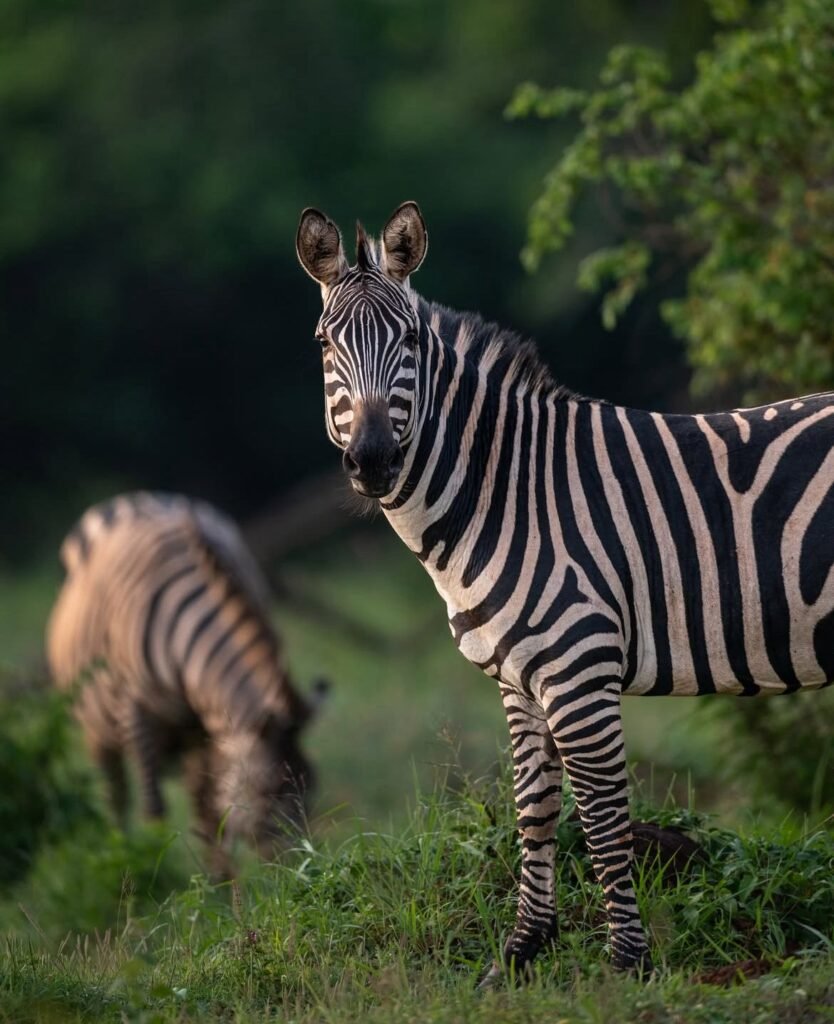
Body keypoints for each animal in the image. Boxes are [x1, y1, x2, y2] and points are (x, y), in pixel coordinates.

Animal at [47, 491, 325, 866]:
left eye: (312, 785)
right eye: (269, 790)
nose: (305, 866)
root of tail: (139, 499)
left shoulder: (207, 727)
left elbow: (211, 815)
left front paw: (220, 882)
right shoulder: (137, 714)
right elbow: (154, 810)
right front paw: (155, 873)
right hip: (97, 726)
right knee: (116, 796)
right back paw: (121, 860)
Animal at [296, 200, 834, 982]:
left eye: (412, 340)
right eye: (324, 344)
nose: (371, 461)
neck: (505, 491)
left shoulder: (580, 667)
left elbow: (604, 818)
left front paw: (627, 963)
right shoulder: (519, 676)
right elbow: (536, 809)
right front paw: (523, 952)